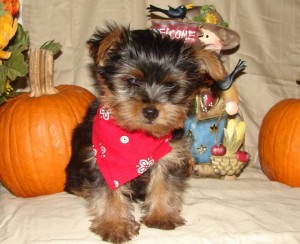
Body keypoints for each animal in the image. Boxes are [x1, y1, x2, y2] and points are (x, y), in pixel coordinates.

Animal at [64, 22, 226, 242]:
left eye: (171, 84)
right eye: (132, 80)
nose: (151, 111)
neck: (136, 135)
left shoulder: (169, 154)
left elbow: (163, 184)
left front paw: (161, 215)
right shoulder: (103, 160)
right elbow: (109, 192)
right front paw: (114, 225)